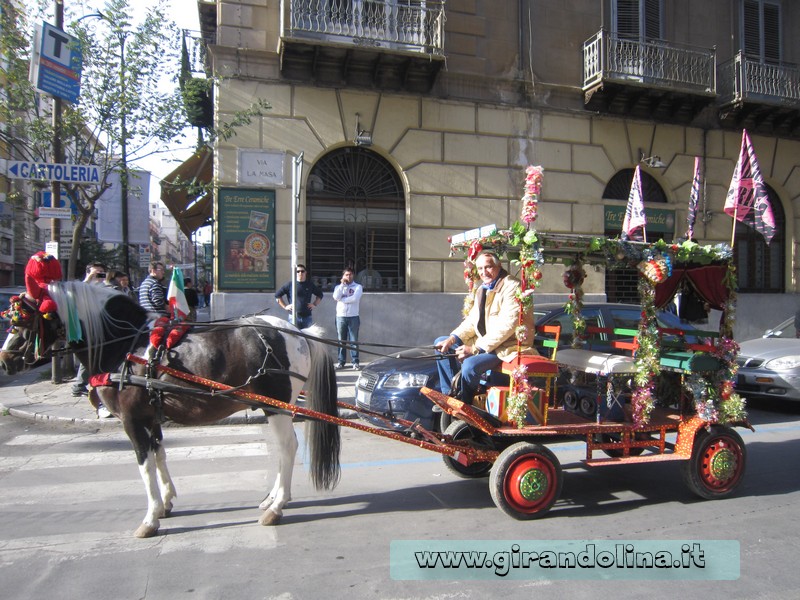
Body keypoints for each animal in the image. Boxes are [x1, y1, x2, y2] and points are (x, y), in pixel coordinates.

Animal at [0, 282, 340, 540]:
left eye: (20, 321)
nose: (6, 360)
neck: (127, 346)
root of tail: (296, 331)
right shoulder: (151, 417)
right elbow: (159, 455)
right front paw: (165, 502)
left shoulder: (131, 421)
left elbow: (144, 465)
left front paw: (150, 518)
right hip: (272, 407)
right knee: (282, 450)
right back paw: (273, 498)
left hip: (277, 407)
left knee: (288, 447)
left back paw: (277, 506)